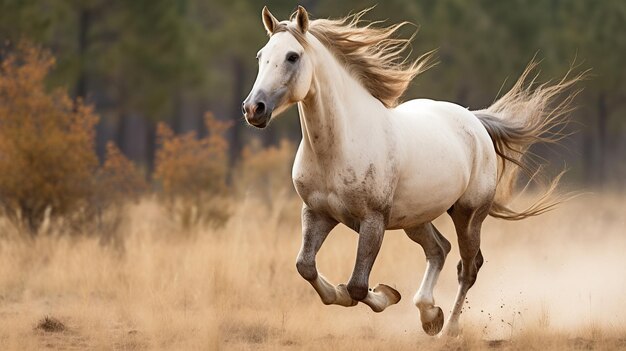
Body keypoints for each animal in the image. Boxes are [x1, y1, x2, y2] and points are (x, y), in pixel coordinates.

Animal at [241, 4, 576, 336]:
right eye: (260, 55)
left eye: (292, 56)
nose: (253, 108)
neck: (339, 147)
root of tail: (475, 120)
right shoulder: (317, 213)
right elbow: (306, 267)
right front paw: (367, 293)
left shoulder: (373, 221)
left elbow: (357, 286)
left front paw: (384, 295)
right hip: (415, 219)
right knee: (439, 249)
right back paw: (430, 315)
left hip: (468, 215)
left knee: (468, 267)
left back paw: (449, 327)